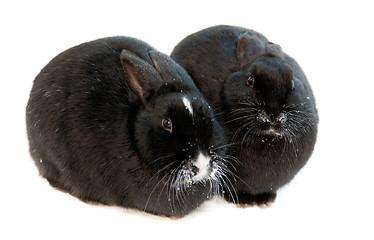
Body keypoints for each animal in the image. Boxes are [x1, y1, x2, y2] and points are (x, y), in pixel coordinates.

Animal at [171, 25, 318, 205]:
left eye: (291, 83)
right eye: (250, 80)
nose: (273, 114)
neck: (266, 138)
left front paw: (264, 200)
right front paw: (244, 201)